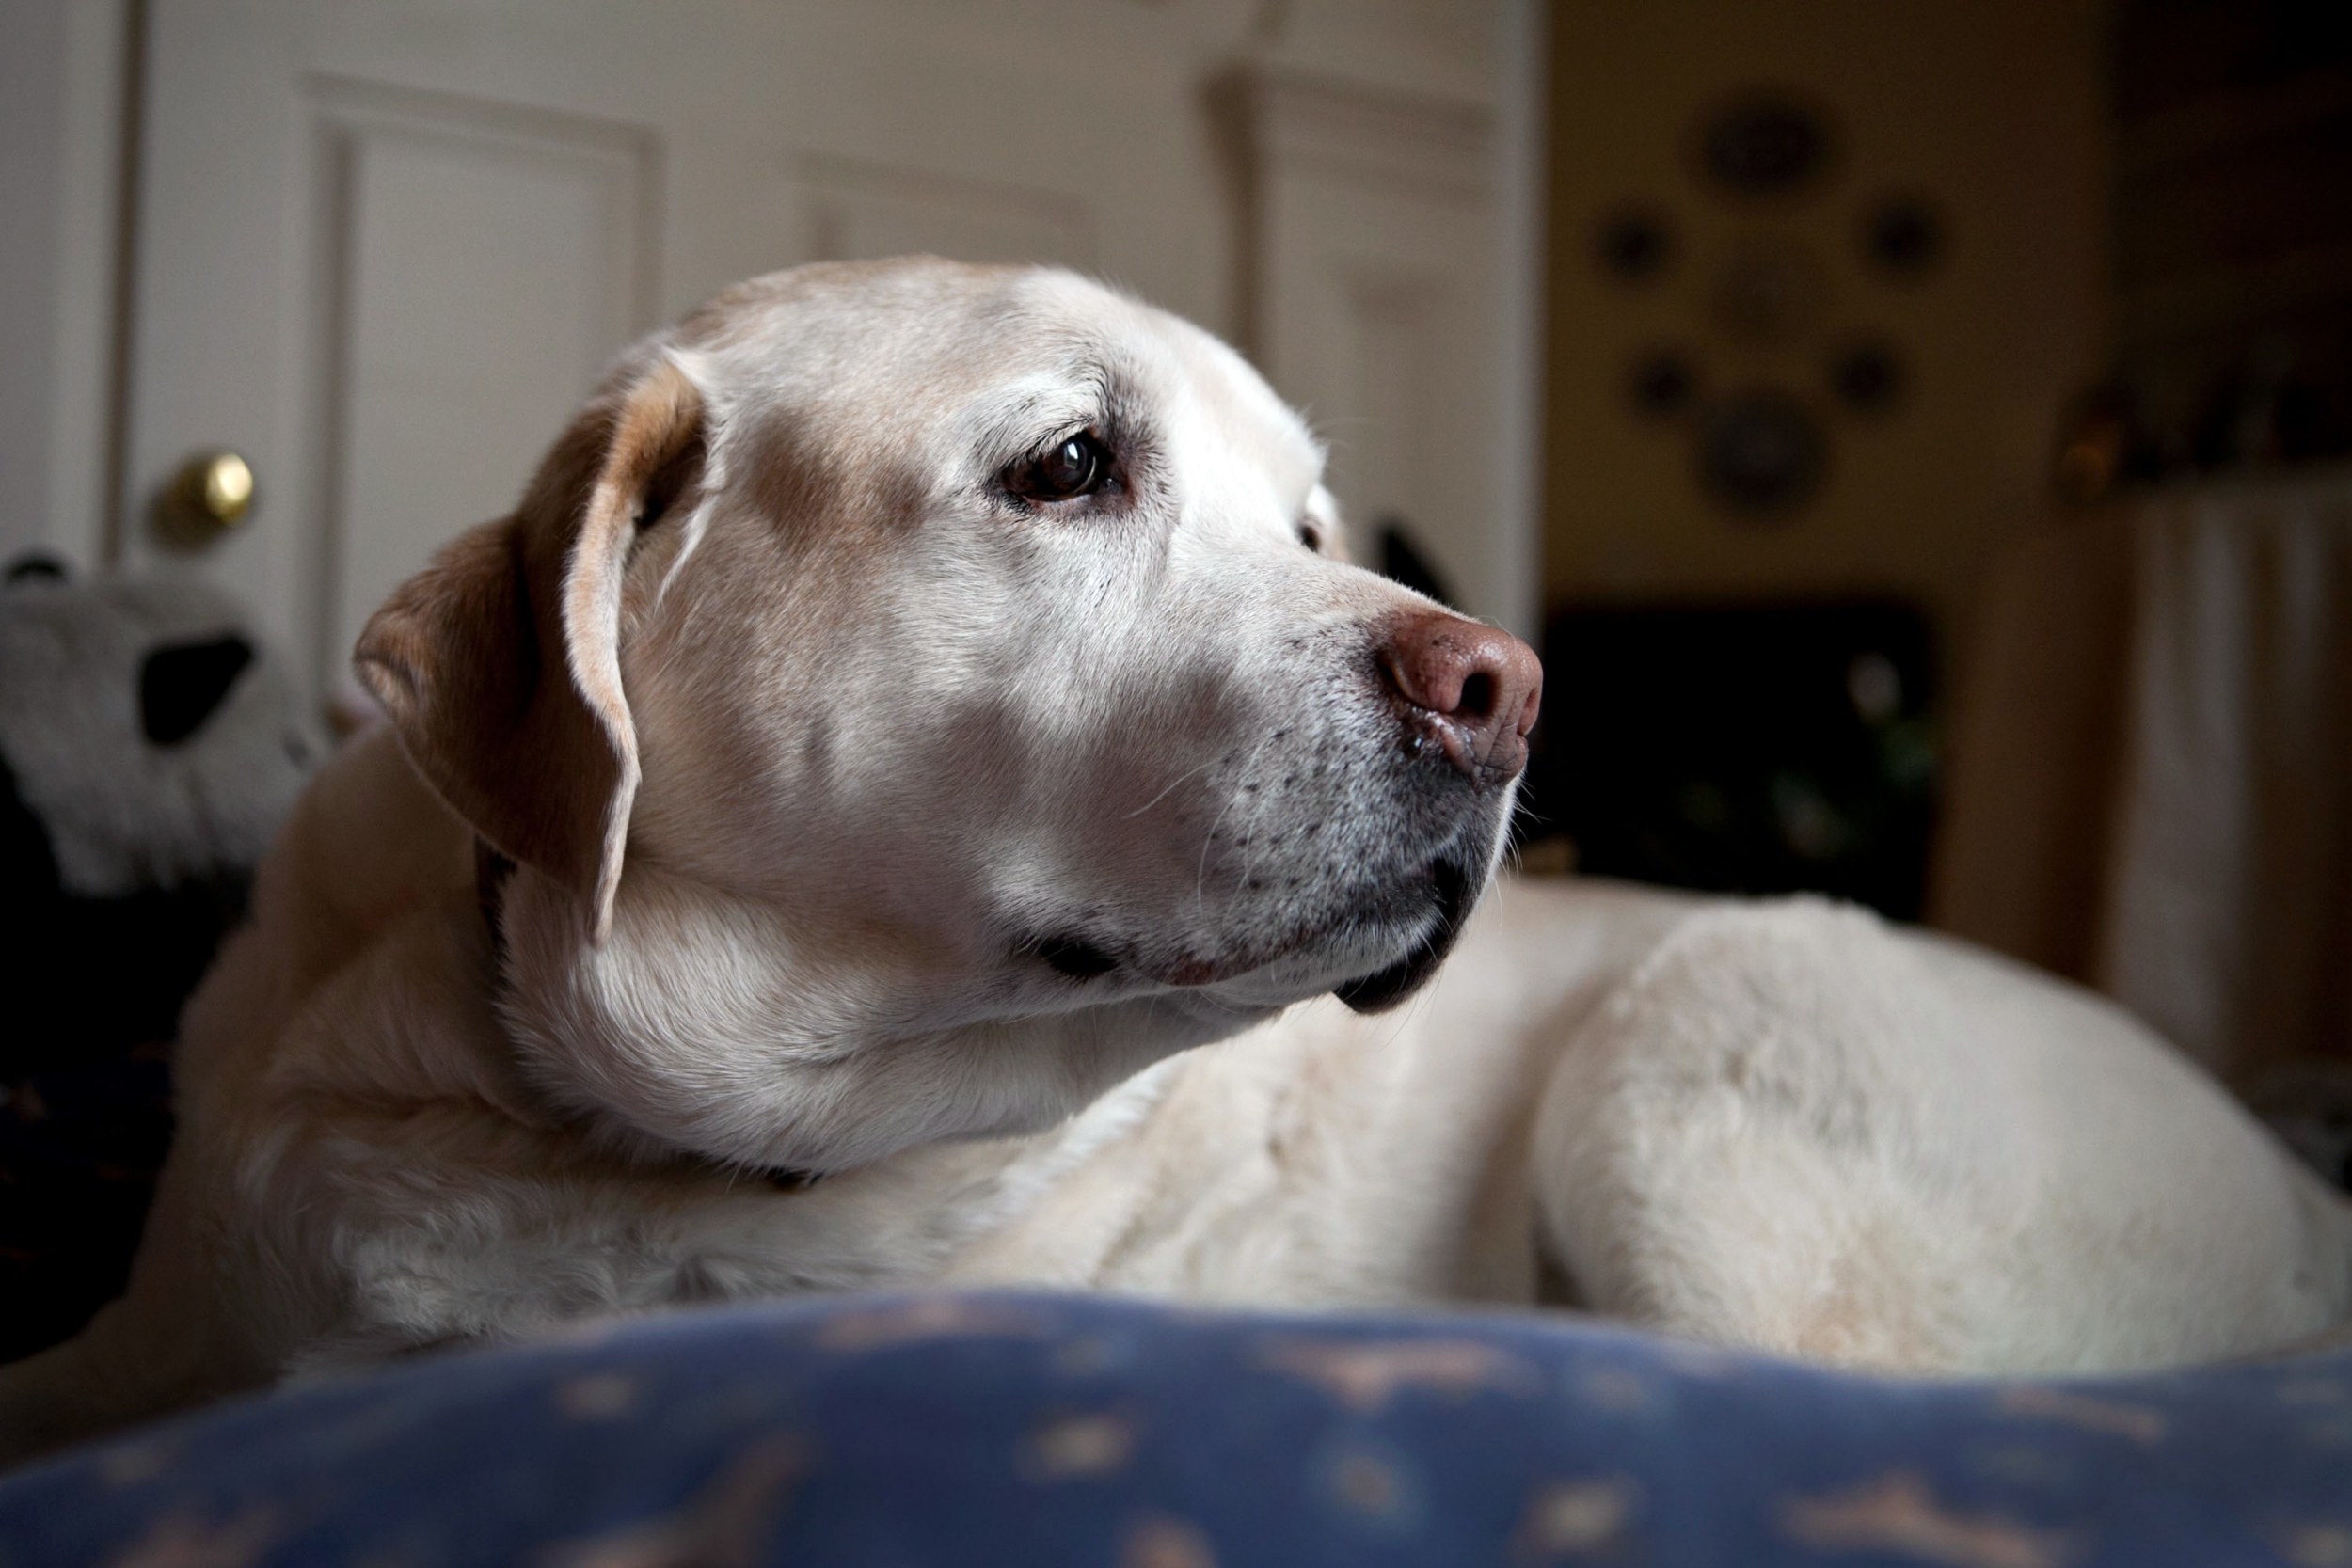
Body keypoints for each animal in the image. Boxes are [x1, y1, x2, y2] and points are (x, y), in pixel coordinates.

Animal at [8, 257, 2343, 1457]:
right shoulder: (151, 1341)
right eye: (1064, 464)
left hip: (1695, 1047)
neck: (608, 1143)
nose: (1507, 686)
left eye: (1311, 522)